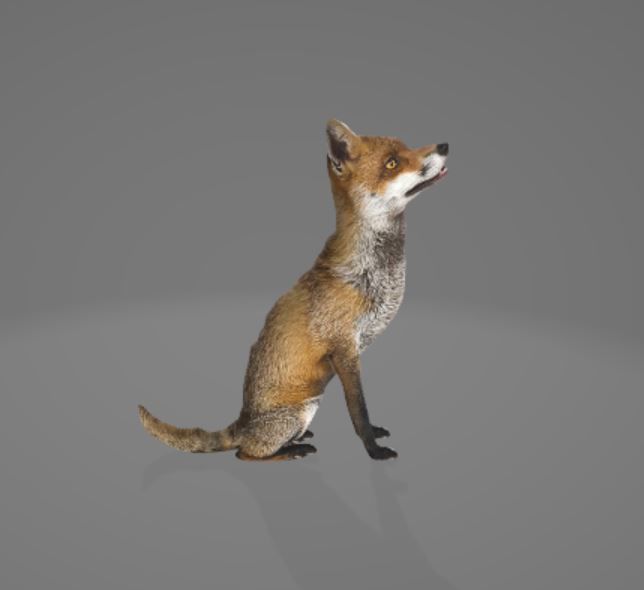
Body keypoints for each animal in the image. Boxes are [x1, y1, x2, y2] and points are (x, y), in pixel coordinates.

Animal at [138, 119, 448, 461]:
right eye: (392, 163)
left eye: (407, 147)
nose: (445, 146)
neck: (375, 273)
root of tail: (242, 422)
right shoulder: (344, 350)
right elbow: (359, 412)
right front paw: (374, 450)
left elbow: (364, 413)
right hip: (299, 411)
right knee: (246, 453)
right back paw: (291, 450)